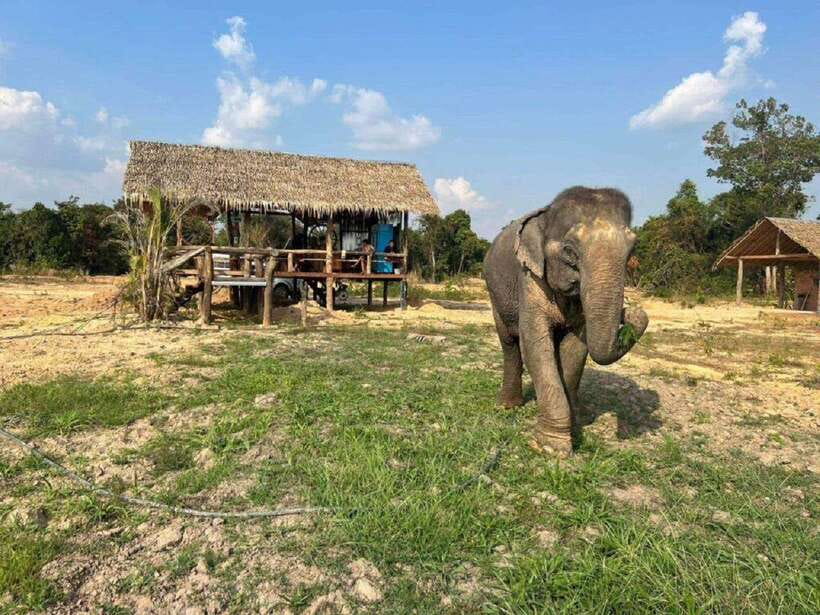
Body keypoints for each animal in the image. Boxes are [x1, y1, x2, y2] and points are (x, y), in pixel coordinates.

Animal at [484, 186, 648, 457]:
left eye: (632, 250)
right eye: (569, 251)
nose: (633, 312)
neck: (547, 215)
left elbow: (574, 349)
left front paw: (575, 425)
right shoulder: (529, 277)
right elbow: (535, 345)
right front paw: (552, 446)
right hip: (494, 295)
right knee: (510, 344)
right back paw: (508, 406)